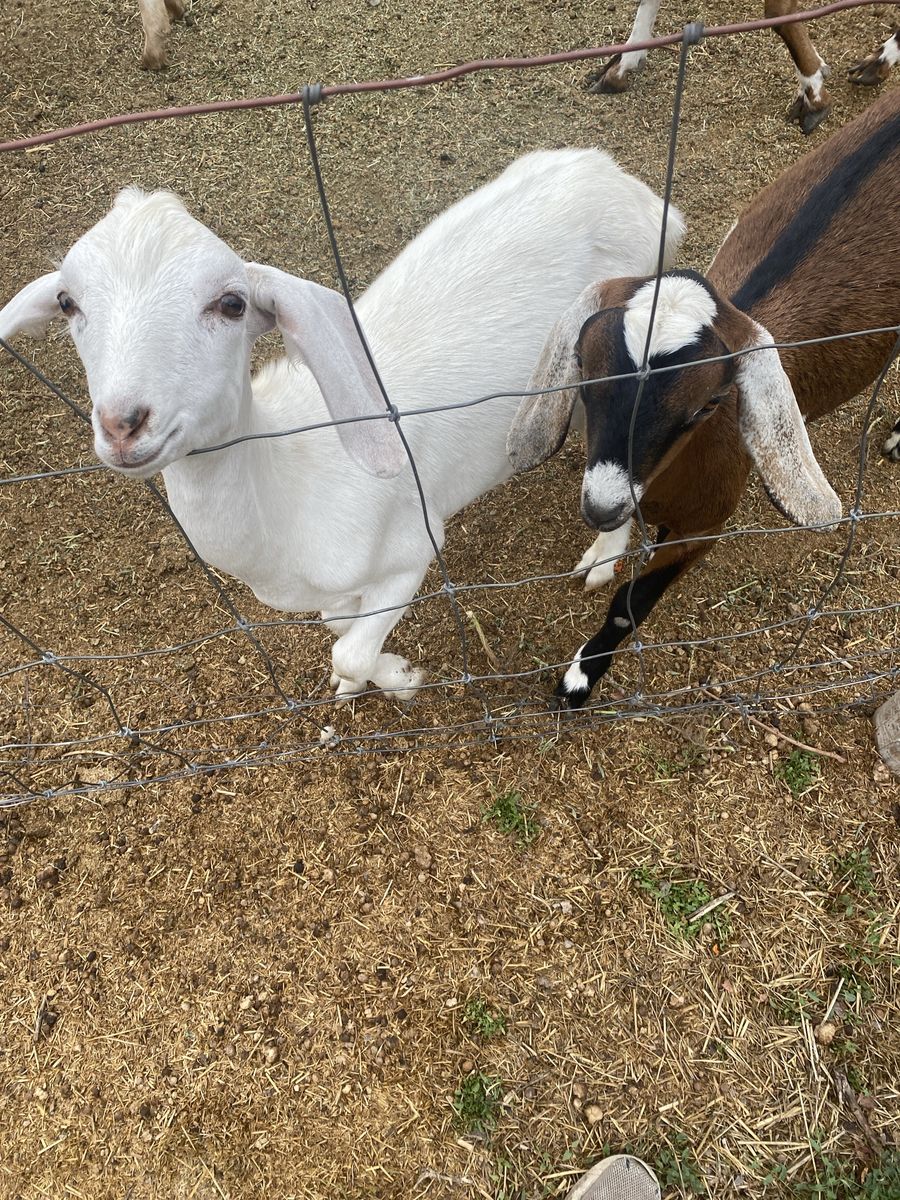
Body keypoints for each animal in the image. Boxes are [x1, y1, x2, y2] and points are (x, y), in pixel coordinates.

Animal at [0, 150, 684, 702]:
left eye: (232, 303)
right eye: (67, 302)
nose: (124, 423)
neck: (287, 496)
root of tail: (644, 198)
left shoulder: (414, 544)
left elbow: (348, 649)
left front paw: (396, 679)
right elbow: (338, 626)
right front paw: (380, 672)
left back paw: (602, 557)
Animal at [507, 85, 900, 708]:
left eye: (708, 405)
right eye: (585, 376)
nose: (601, 508)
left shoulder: (705, 526)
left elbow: (629, 607)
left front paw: (580, 676)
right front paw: (604, 551)